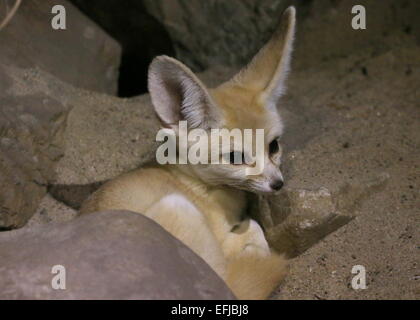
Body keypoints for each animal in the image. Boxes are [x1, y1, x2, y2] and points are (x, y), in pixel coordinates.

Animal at [81, 5, 296, 300]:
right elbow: (253, 231)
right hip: (178, 211)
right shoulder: (221, 240)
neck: (193, 183)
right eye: (235, 158)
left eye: (273, 146)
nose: (278, 184)